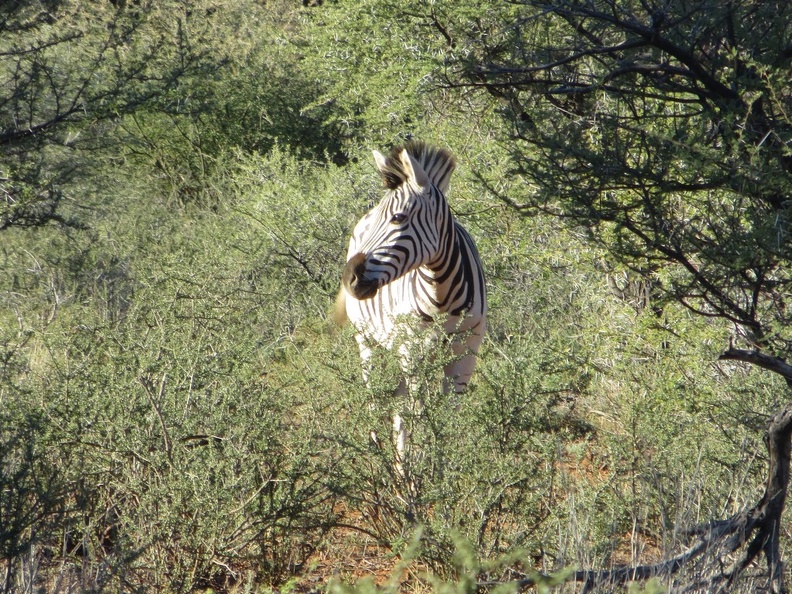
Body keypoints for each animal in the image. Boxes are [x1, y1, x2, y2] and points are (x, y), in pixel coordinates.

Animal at [332, 140, 486, 480]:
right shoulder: (413, 350)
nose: (349, 280)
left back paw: (400, 464)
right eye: (383, 217)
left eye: (398, 218)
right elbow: (419, 413)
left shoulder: (466, 351)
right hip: (370, 341)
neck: (443, 295)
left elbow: (447, 413)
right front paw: (421, 473)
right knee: (377, 400)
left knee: (400, 404)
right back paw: (382, 464)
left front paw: (443, 471)